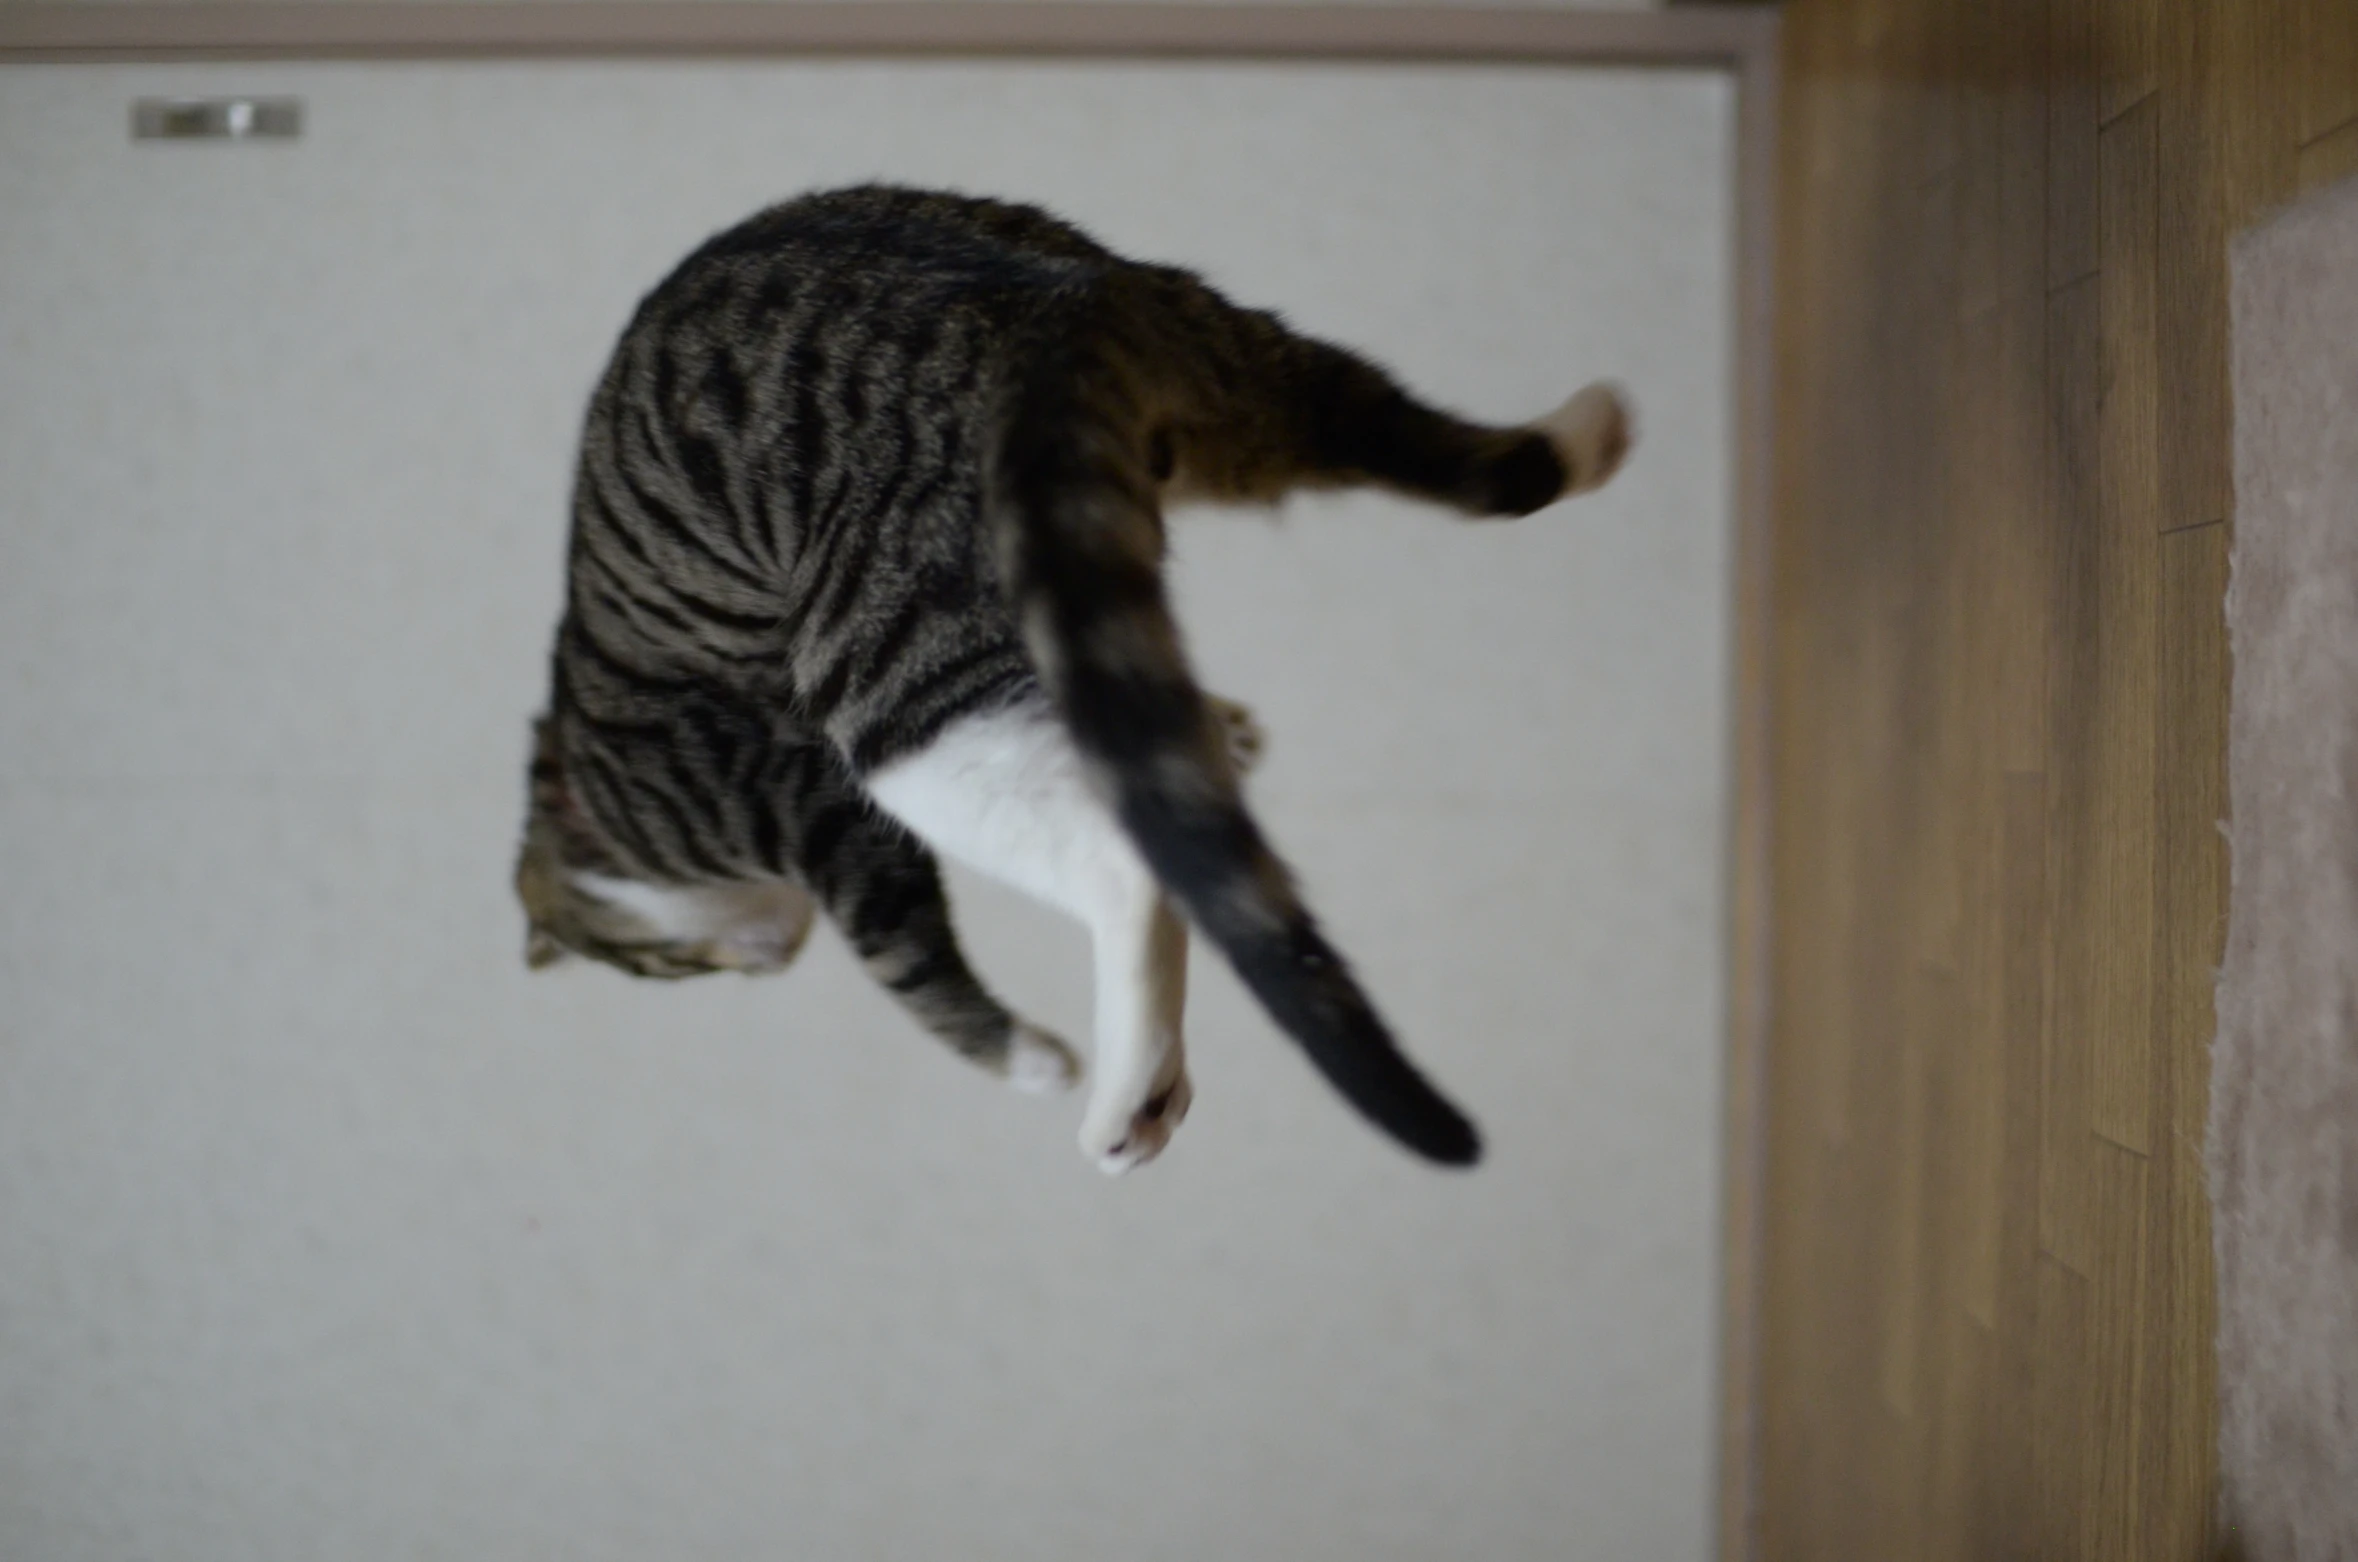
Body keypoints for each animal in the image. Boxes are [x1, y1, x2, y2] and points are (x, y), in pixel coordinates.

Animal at [516, 184, 1631, 1170]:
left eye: (654, 968)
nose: (759, 960)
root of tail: (1038, 307)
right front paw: (1227, 730)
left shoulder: (805, 810)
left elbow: (914, 969)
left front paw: (1030, 1061)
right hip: (1236, 389)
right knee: (1457, 456)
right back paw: (1593, 428)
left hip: (897, 686)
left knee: (1127, 865)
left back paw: (1126, 1092)